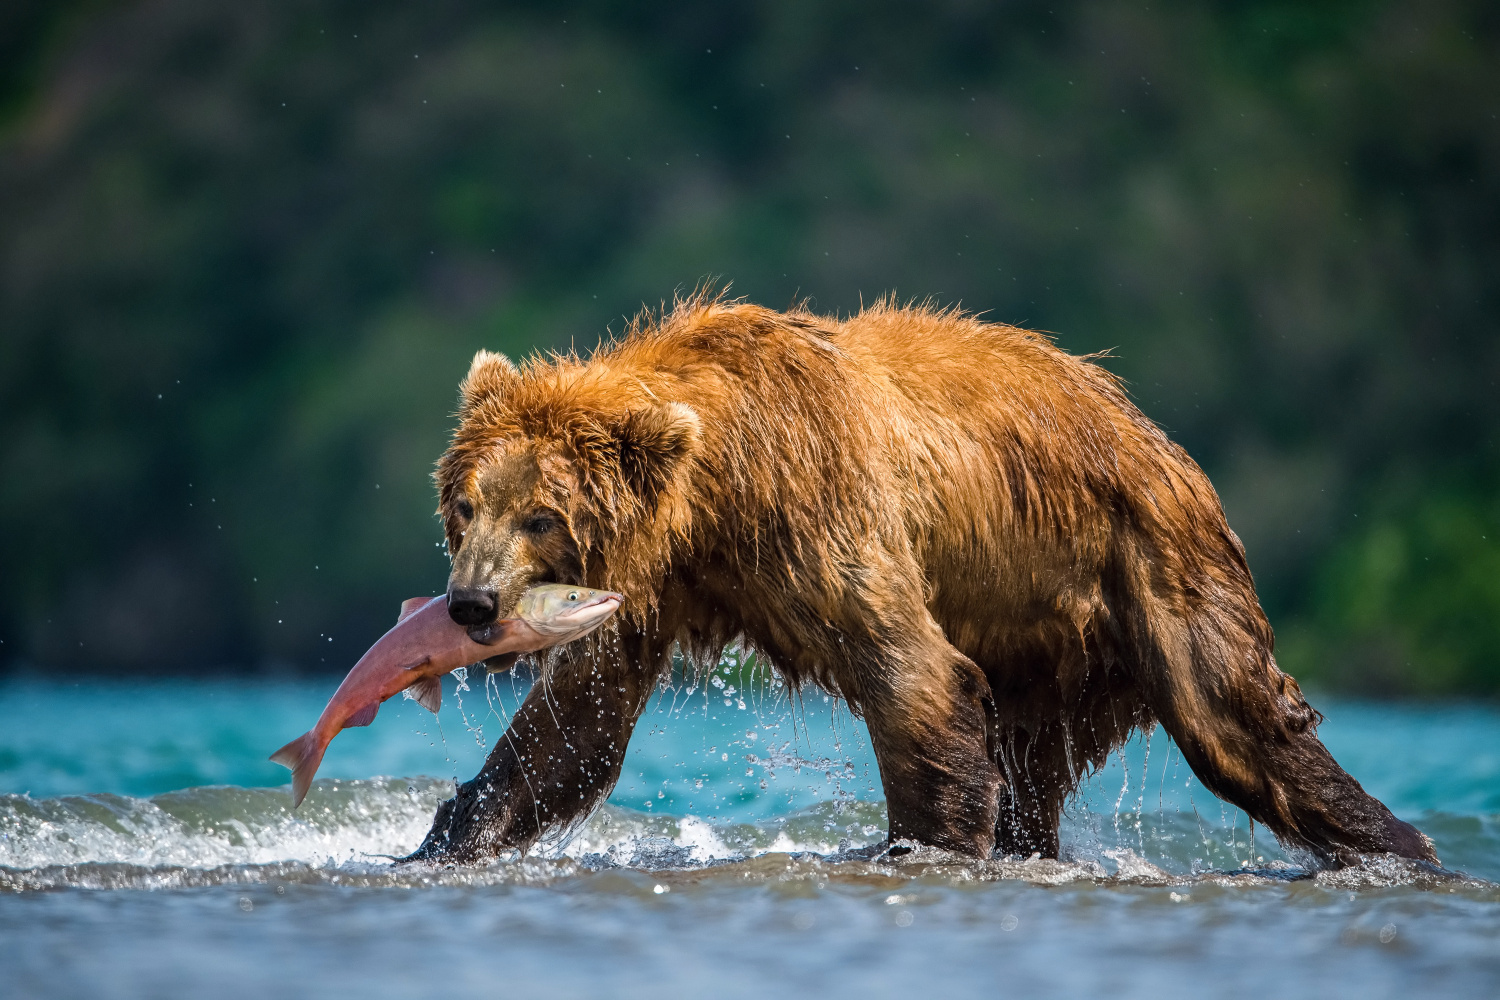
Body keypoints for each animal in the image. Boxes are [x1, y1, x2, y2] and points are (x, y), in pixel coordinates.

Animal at [405, 290, 1434, 869]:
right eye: (466, 503)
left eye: (540, 514)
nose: (472, 601)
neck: (716, 493)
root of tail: (1160, 440)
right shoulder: (652, 584)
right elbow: (571, 728)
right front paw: (439, 845)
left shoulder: (815, 504)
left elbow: (911, 674)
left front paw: (924, 845)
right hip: (1049, 648)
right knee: (1035, 765)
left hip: (1148, 561)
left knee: (1239, 721)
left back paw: (1403, 847)